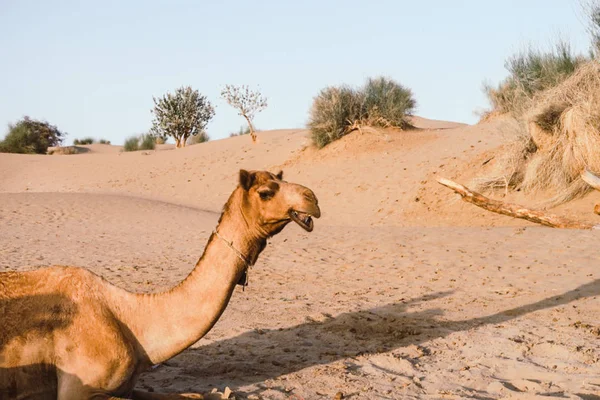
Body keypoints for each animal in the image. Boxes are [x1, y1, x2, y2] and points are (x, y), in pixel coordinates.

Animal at [0, 170, 322, 400]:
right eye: (266, 192)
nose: (313, 198)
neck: (130, 320)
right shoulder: (78, 389)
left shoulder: (127, 386)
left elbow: (195, 396)